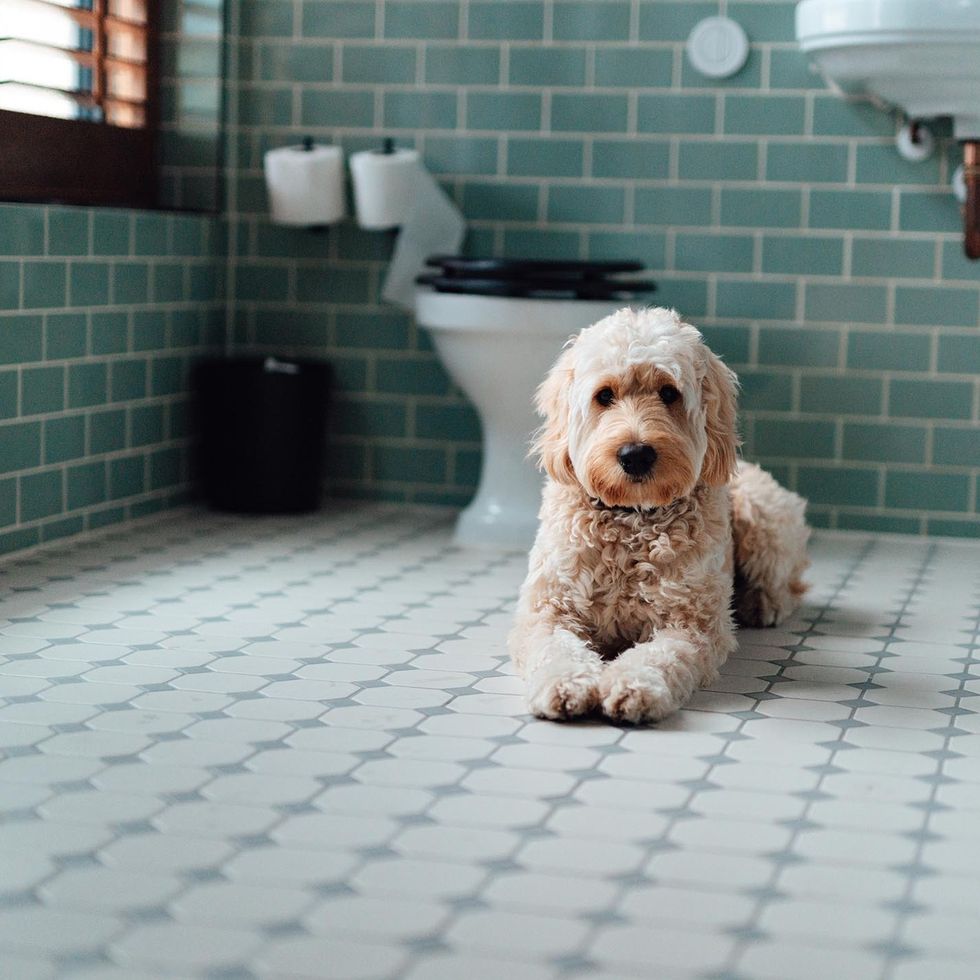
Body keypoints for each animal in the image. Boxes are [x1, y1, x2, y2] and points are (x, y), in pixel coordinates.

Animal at [510, 310, 808, 724]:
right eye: (604, 395)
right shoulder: (548, 611)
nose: (635, 454)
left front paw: (633, 687)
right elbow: (557, 650)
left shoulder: (690, 625)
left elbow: (660, 657)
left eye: (669, 393)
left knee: (787, 584)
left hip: (761, 515)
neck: (631, 521)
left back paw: (761, 604)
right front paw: (566, 685)